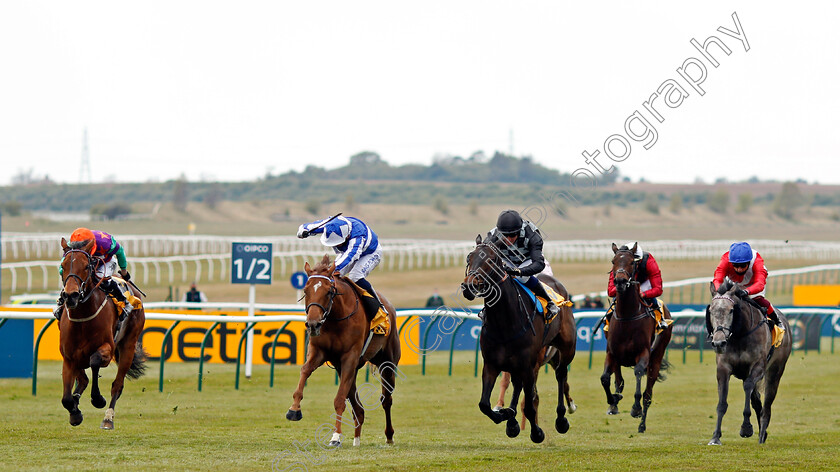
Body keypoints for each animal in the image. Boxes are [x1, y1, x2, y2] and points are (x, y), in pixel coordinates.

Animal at [58, 238, 146, 430]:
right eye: (63, 266)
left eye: (86, 266)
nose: (71, 296)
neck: (82, 319)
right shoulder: (68, 357)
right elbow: (66, 398)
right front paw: (75, 413)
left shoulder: (107, 348)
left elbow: (95, 361)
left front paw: (98, 399)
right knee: (83, 380)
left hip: (128, 345)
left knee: (117, 385)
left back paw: (108, 418)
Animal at [288, 256, 402, 448]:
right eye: (306, 290)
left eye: (328, 292)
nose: (312, 324)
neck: (335, 318)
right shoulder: (319, 352)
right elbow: (304, 371)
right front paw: (294, 409)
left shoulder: (350, 357)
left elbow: (339, 400)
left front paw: (335, 437)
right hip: (346, 370)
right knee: (358, 407)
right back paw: (356, 439)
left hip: (387, 363)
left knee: (386, 399)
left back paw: (389, 436)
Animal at [460, 235, 576, 442]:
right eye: (469, 257)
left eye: (491, 260)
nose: (469, 286)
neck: (504, 323)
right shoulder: (492, 364)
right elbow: (484, 404)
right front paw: (505, 414)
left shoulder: (529, 366)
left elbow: (530, 404)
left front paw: (536, 432)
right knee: (517, 384)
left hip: (566, 349)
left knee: (561, 375)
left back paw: (562, 418)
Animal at [600, 245, 672, 434]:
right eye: (613, 261)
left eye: (632, 262)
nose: (619, 281)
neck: (627, 315)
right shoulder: (611, 352)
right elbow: (605, 378)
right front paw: (612, 400)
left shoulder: (643, 353)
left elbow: (639, 375)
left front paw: (635, 408)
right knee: (619, 380)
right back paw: (615, 402)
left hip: (657, 357)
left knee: (648, 394)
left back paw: (642, 425)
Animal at [704, 278, 792, 444]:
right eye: (711, 311)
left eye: (731, 310)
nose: (718, 343)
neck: (739, 334)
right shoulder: (723, 368)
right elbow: (722, 403)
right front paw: (715, 437)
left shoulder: (758, 367)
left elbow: (748, 387)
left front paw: (746, 428)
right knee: (757, 402)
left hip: (775, 371)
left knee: (767, 405)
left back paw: (762, 434)